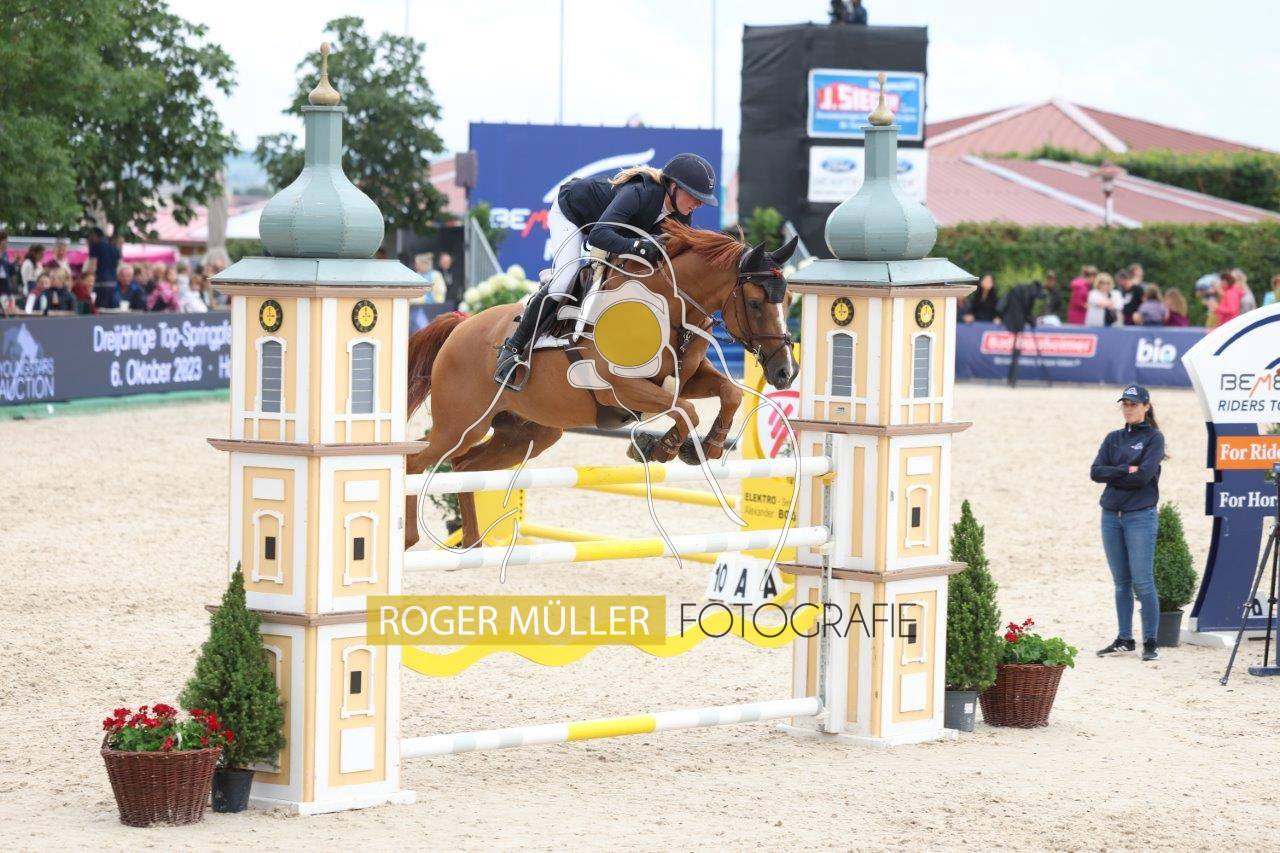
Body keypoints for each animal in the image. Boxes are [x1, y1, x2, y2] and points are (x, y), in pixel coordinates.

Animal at [404, 220, 798, 547]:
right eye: (755, 303)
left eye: (790, 299)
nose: (786, 372)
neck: (666, 307)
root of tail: (461, 325)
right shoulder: (623, 389)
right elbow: (685, 410)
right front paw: (662, 447)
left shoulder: (686, 377)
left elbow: (727, 393)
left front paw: (709, 445)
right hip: (461, 425)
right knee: (416, 462)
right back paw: (410, 539)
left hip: (526, 433)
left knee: (464, 468)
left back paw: (472, 544)